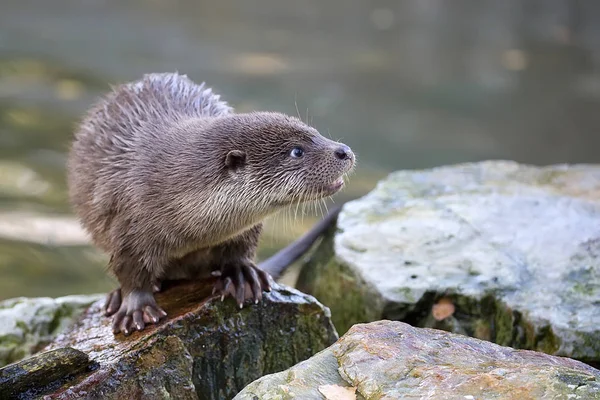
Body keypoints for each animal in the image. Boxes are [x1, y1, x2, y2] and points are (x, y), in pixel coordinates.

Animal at [67, 72, 354, 334]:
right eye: (297, 151)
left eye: (316, 133)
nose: (345, 151)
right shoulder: (128, 222)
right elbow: (130, 269)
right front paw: (135, 308)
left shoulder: (244, 227)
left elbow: (241, 247)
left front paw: (241, 274)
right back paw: (116, 297)